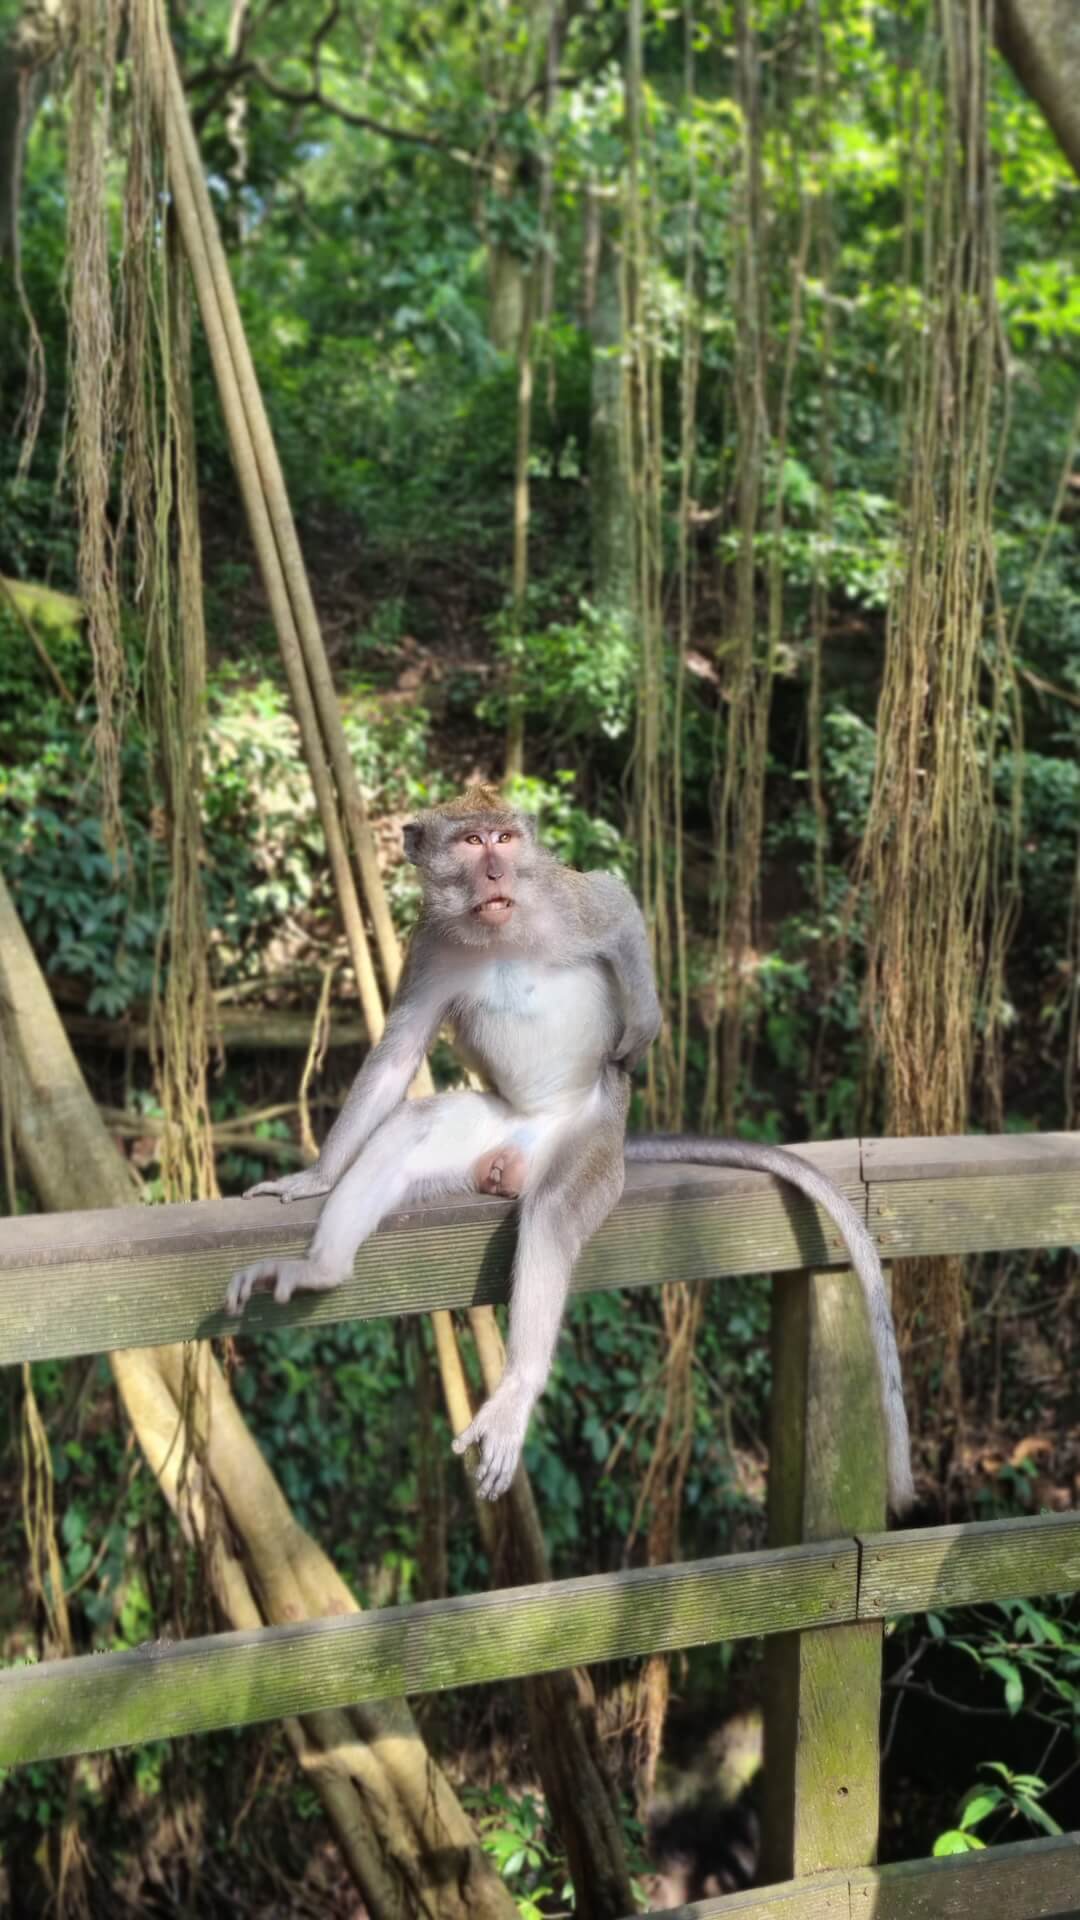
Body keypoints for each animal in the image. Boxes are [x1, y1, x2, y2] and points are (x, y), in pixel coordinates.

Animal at [225, 785, 914, 1514]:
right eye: (471, 842)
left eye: (504, 838)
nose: (495, 871)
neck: (499, 931)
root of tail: (533, 1138)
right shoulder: (431, 947)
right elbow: (397, 1058)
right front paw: (315, 1175)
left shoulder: (564, 900)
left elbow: (618, 904)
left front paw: (643, 1025)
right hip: (496, 1127)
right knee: (411, 1126)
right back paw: (320, 1269)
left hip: (594, 1142)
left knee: (554, 1210)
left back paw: (517, 1385)